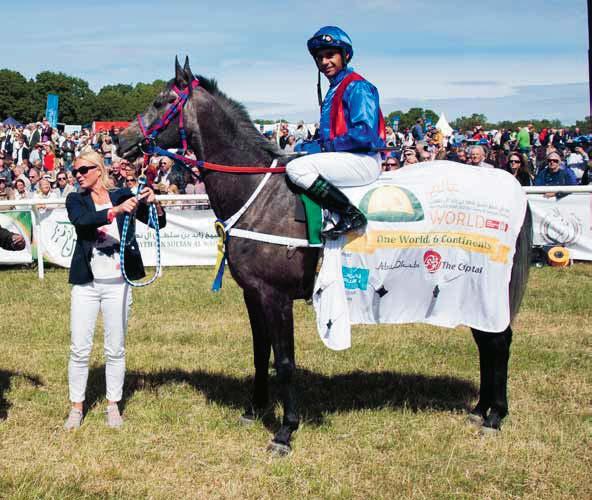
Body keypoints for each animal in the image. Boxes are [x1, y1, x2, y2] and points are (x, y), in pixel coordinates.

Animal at [118, 56, 536, 456]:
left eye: (161, 101)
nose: (121, 140)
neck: (260, 194)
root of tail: (508, 185)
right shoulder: (253, 293)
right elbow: (259, 353)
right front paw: (254, 410)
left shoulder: (276, 296)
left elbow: (285, 362)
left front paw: (285, 431)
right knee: (487, 341)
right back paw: (481, 409)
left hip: (481, 283)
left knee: (498, 341)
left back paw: (495, 415)